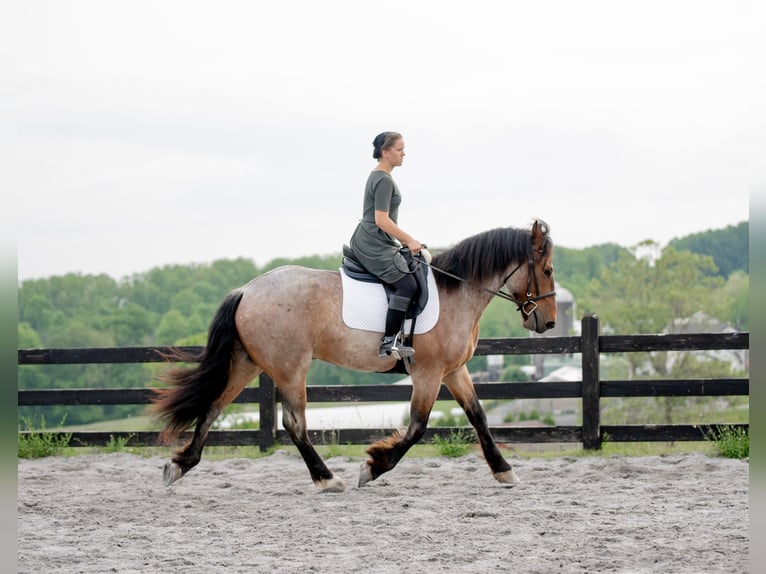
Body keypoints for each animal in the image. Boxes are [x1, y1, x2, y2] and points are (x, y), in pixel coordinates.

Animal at [150, 220, 560, 496]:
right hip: (290, 368)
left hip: (247, 362)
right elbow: (417, 427)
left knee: (213, 407)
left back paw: (180, 465)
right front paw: (373, 467)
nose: (549, 321)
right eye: (547, 270)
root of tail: (246, 290)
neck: (456, 292)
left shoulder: (454, 371)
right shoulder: (428, 373)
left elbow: (479, 417)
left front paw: (504, 470)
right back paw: (327, 479)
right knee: (293, 423)